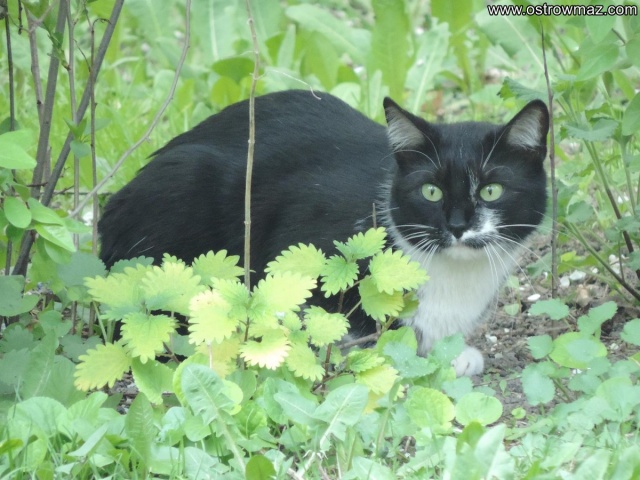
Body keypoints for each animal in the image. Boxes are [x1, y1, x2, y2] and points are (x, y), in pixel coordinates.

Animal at [99, 89, 549, 376]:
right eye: (431, 191)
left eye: (491, 190)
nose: (456, 226)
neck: (452, 278)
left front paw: (453, 355)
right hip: (185, 183)